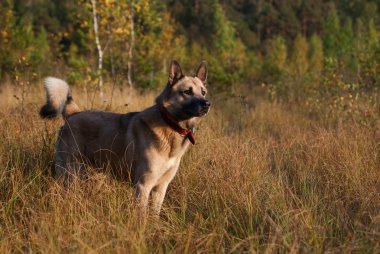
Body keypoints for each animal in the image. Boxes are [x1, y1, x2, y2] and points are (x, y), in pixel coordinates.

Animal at [39, 60, 211, 213]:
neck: (169, 124)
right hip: (70, 174)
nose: (207, 104)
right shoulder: (143, 186)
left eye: (203, 92)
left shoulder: (160, 189)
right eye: (187, 92)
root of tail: (73, 114)